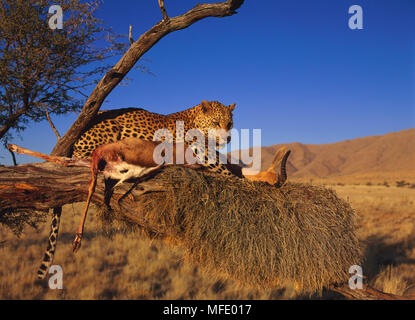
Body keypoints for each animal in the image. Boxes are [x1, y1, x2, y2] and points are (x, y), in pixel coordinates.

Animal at [37, 99, 239, 278]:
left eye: (229, 123)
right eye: (216, 122)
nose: (228, 138)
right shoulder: (201, 153)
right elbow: (227, 173)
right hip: (109, 130)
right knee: (89, 158)